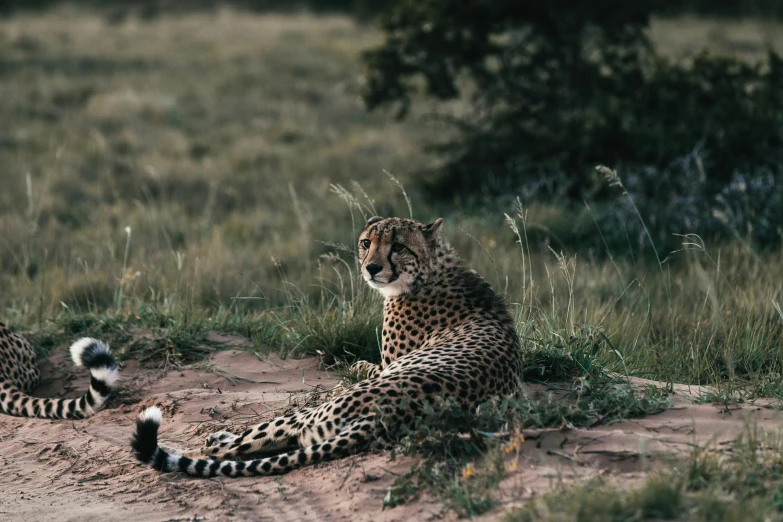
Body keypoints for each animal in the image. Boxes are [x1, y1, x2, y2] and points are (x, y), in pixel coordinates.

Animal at [133, 215, 528, 476]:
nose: (371, 268)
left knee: (257, 440)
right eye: (367, 242)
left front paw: (351, 367)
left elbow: (363, 365)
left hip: (313, 414)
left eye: (398, 247)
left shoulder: (388, 364)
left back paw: (209, 442)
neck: (431, 269)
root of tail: (390, 416)